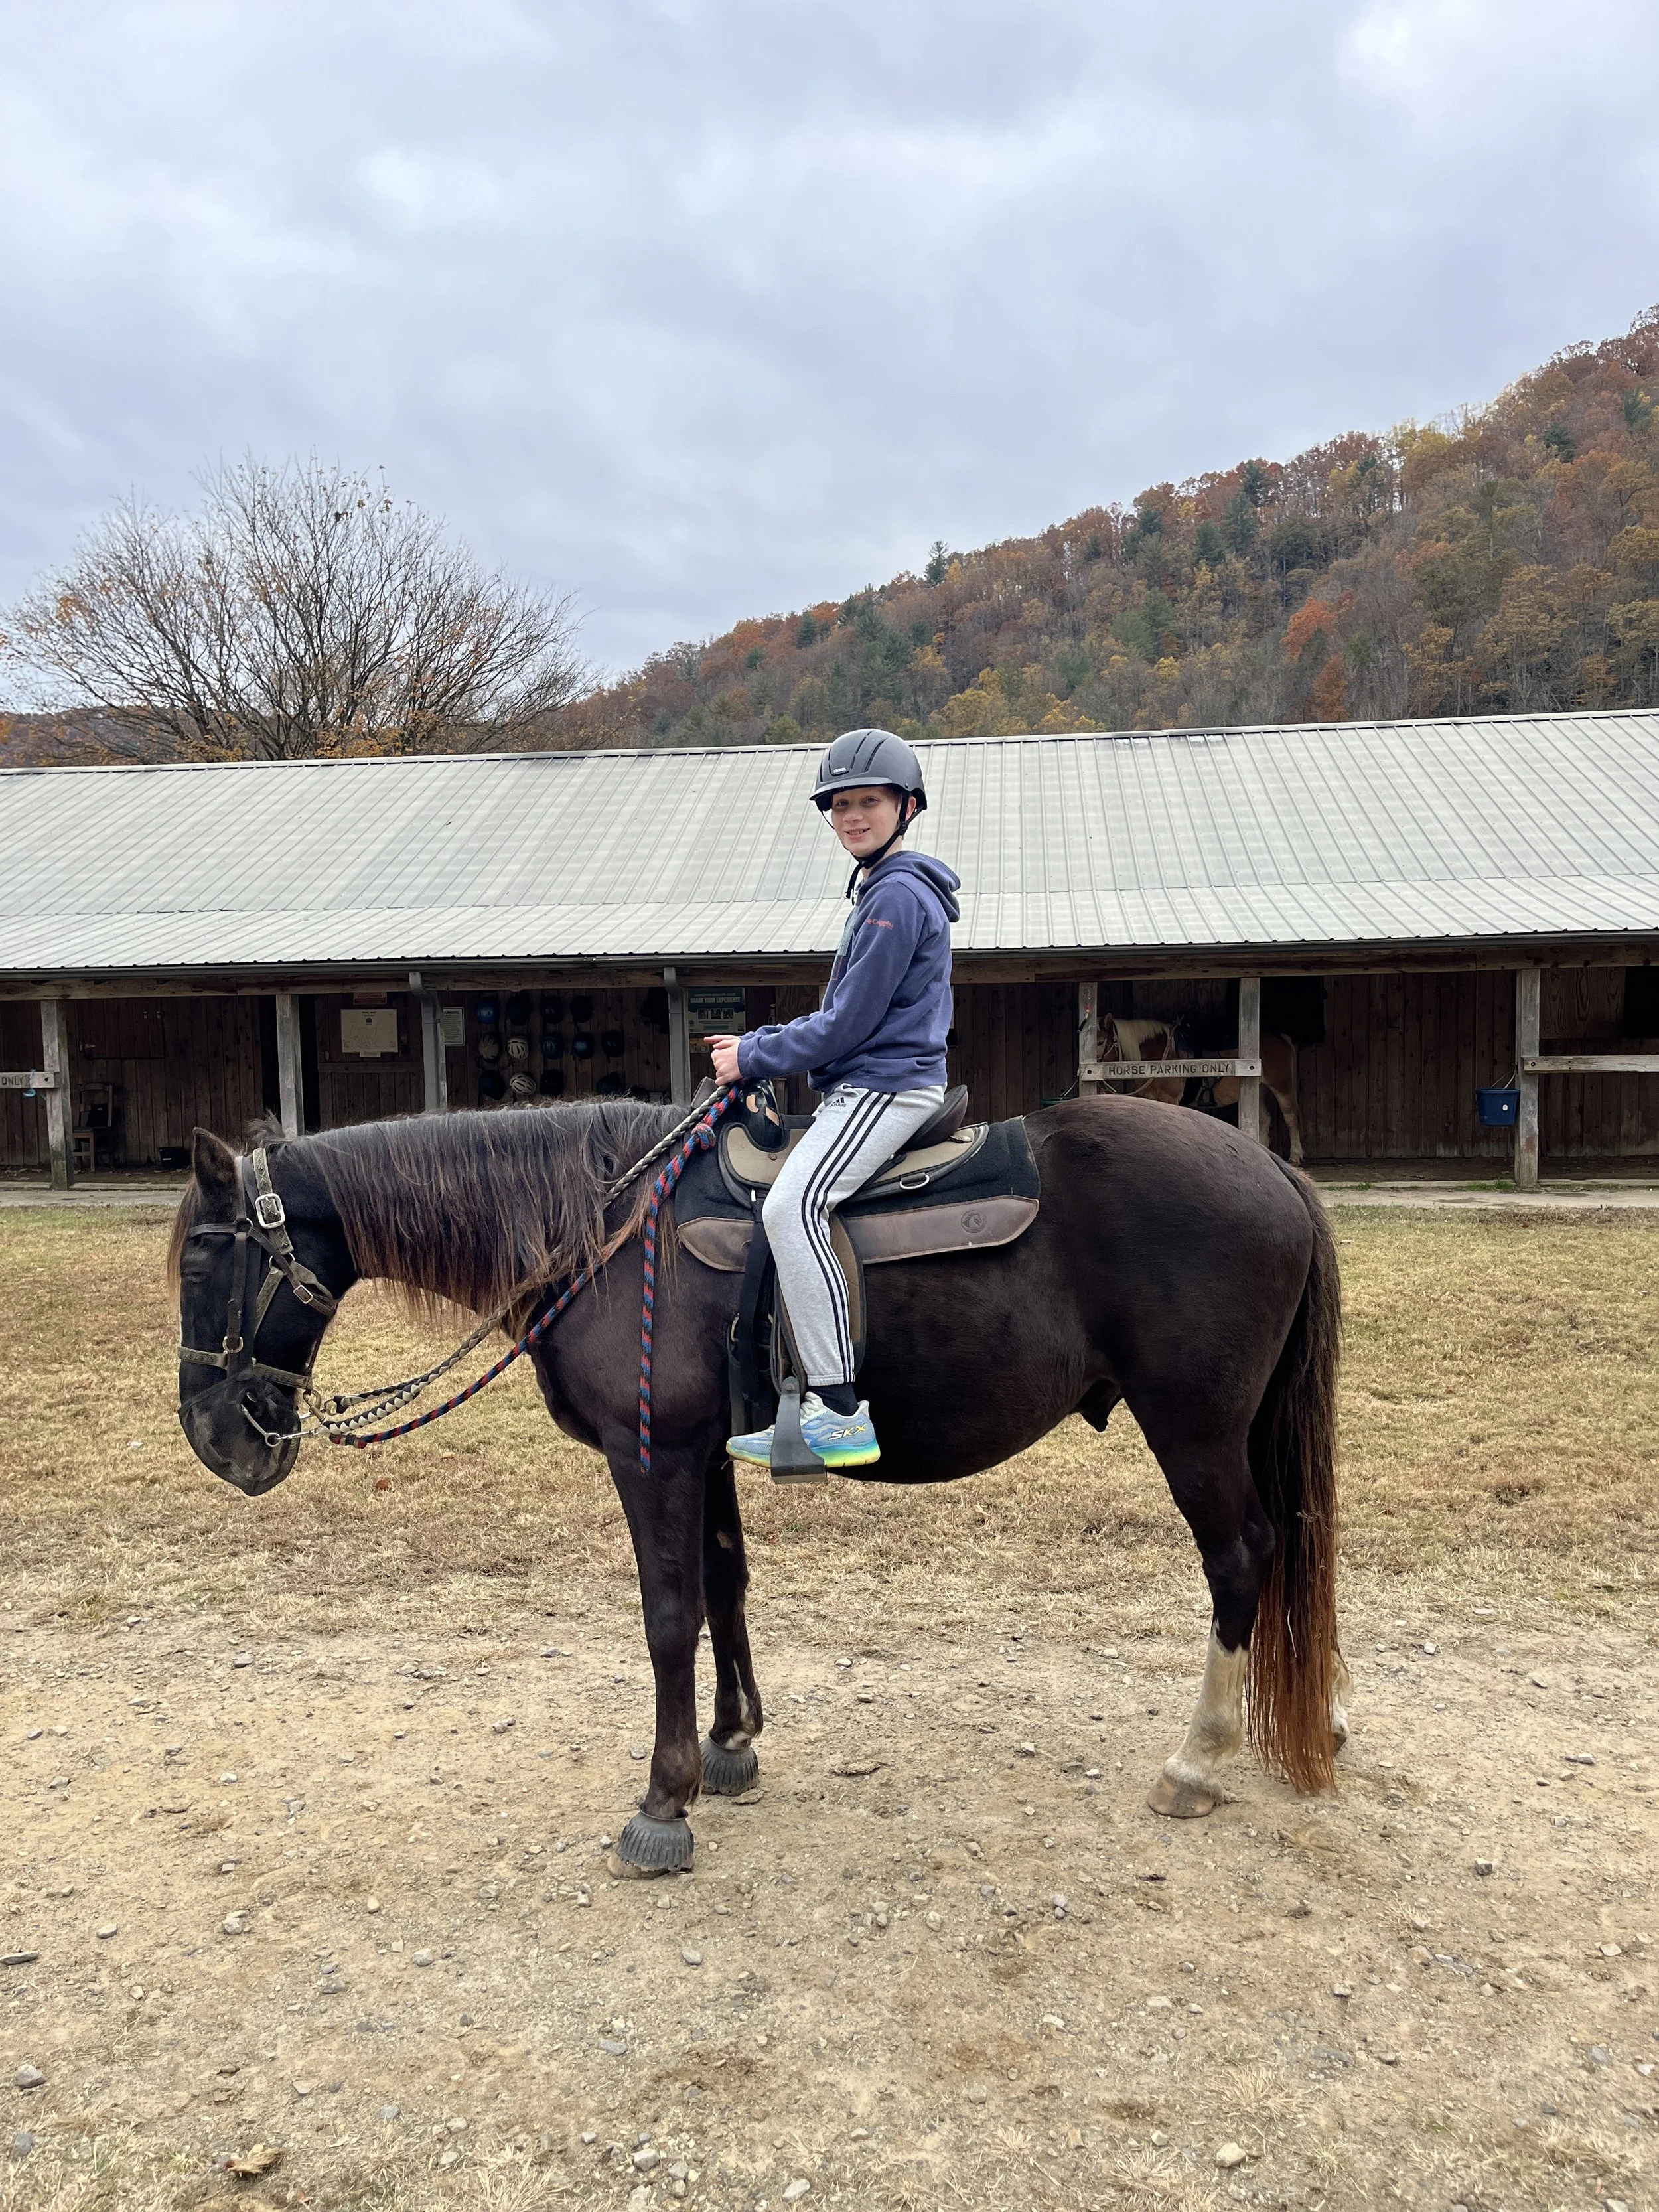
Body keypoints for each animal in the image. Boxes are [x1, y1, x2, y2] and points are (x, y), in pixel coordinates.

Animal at [170, 1094, 1345, 1875]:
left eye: (199, 1260)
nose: (218, 1439)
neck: (602, 1235)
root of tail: (1271, 1169)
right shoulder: (699, 1454)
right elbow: (726, 1583)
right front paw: (732, 1746)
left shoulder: (649, 1457)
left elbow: (667, 1613)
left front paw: (665, 1799)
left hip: (1193, 1428)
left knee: (1240, 1558)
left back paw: (1197, 1760)